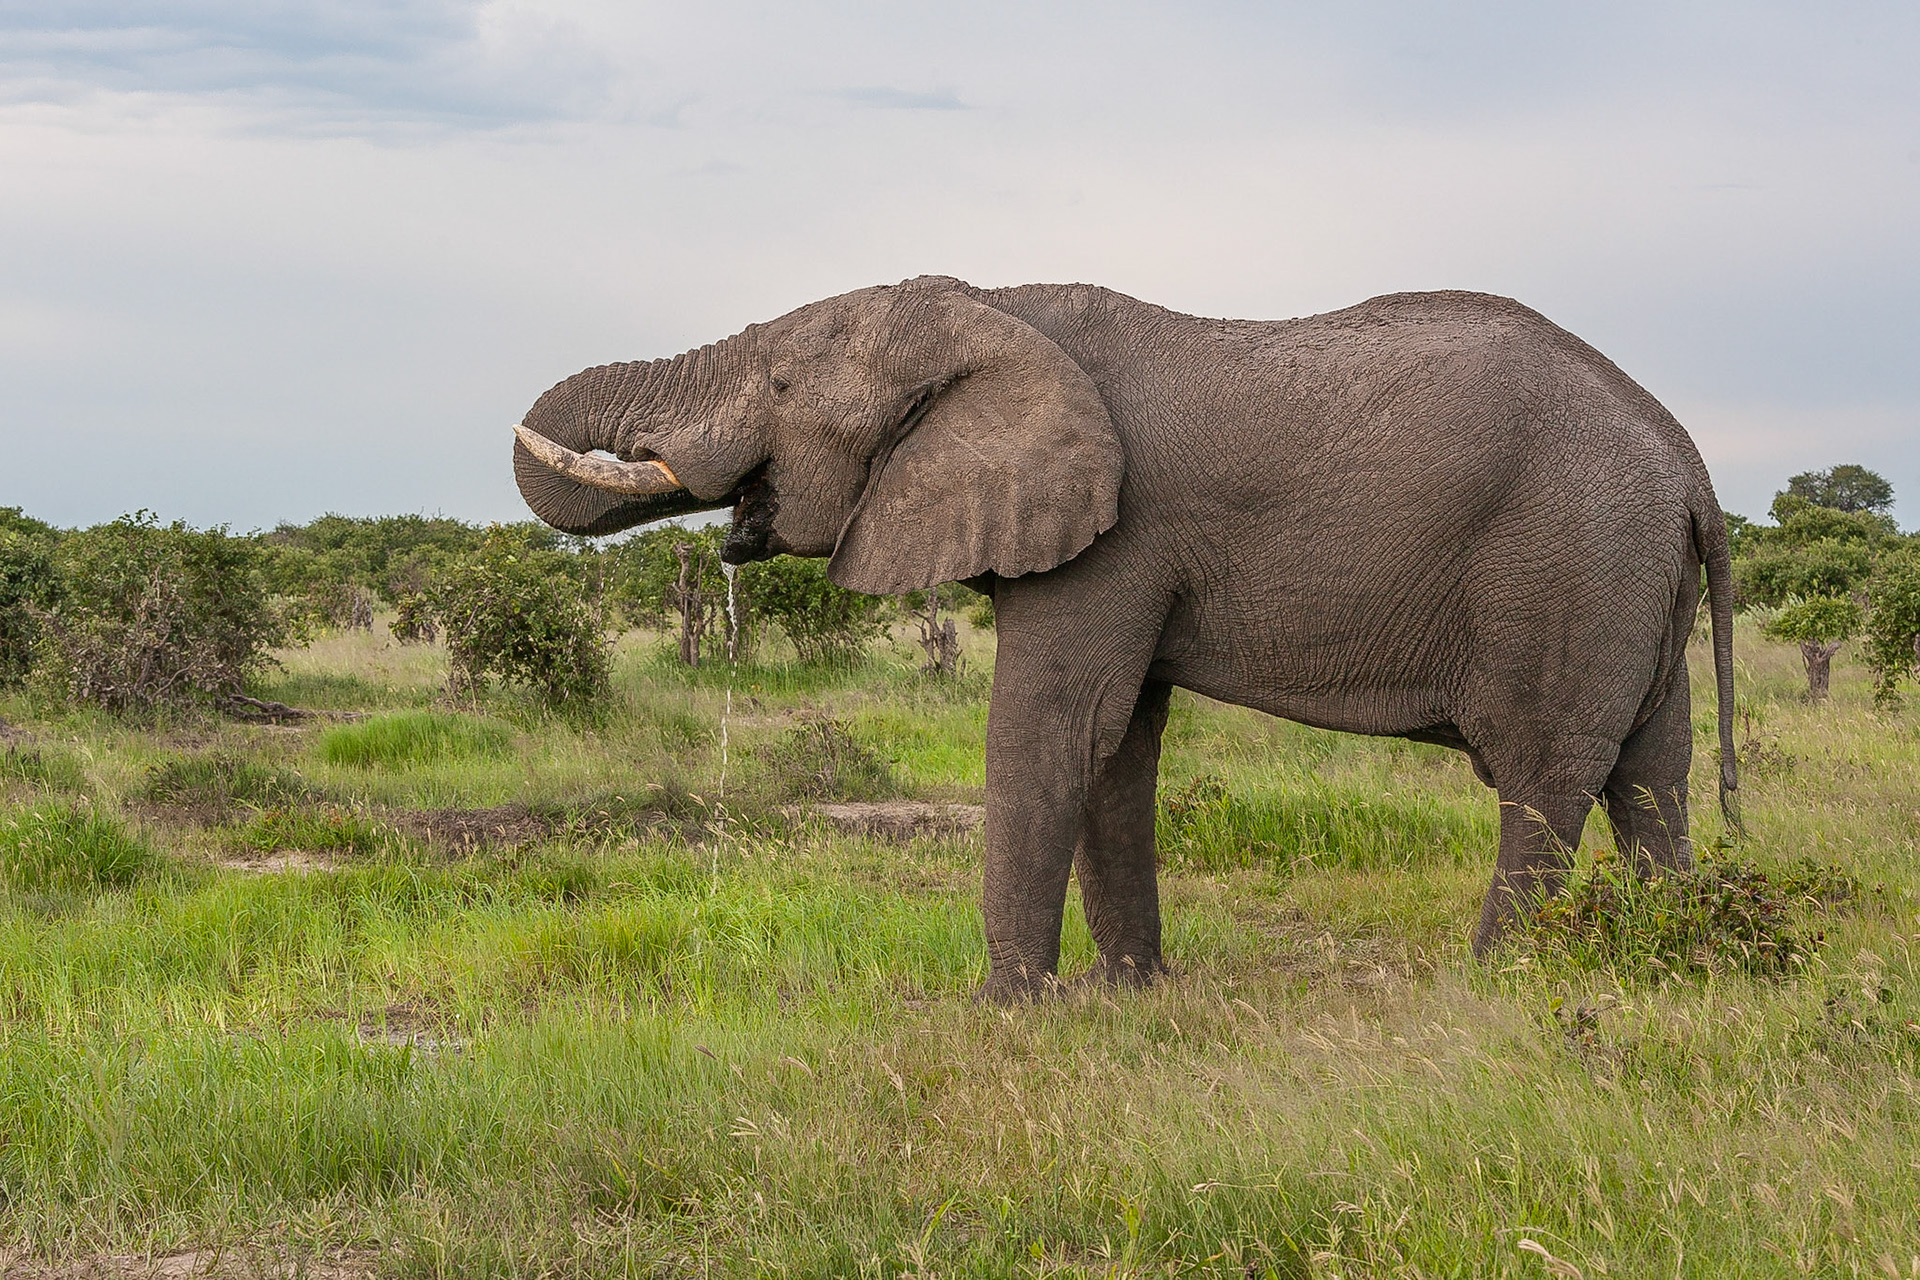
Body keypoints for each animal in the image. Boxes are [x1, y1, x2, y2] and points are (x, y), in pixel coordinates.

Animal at [506, 278, 1743, 997]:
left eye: (775, 382)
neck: (995, 304)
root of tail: (1688, 457)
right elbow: (1117, 744)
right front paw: (1130, 995)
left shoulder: (1115, 537)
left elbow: (1055, 728)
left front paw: (1009, 1011)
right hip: (1633, 579)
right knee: (1655, 778)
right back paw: (1683, 960)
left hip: (1571, 562)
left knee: (1545, 778)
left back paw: (1486, 988)